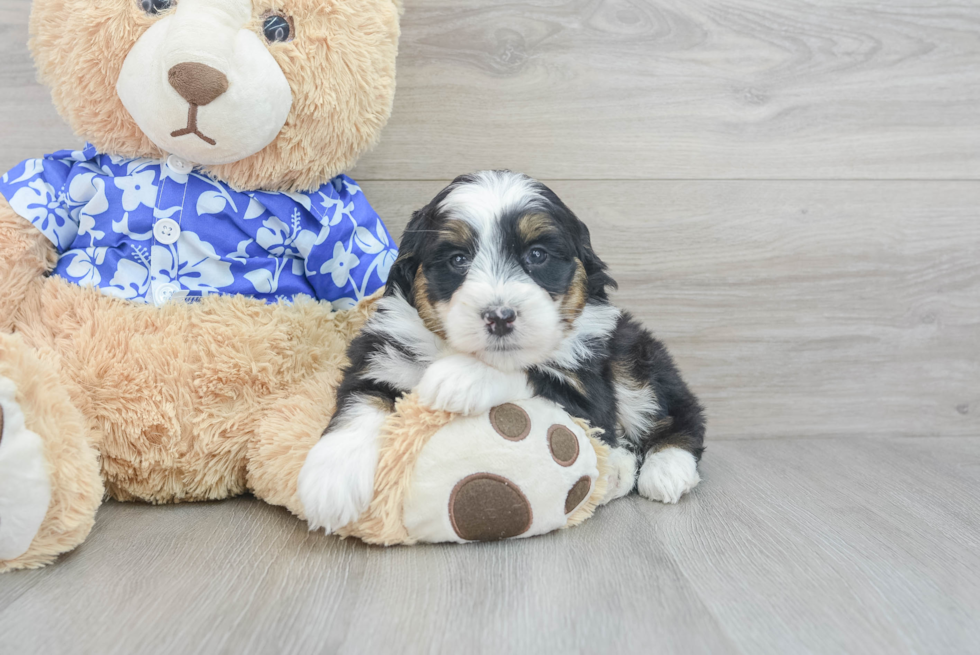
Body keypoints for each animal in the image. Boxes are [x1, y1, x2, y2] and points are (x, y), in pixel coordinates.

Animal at [298, 169, 704, 532]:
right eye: (458, 259)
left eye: (537, 255)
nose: (500, 317)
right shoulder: (382, 357)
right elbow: (359, 403)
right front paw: (329, 481)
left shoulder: (591, 395)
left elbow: (530, 370)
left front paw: (458, 378)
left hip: (633, 359)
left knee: (681, 413)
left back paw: (667, 469)